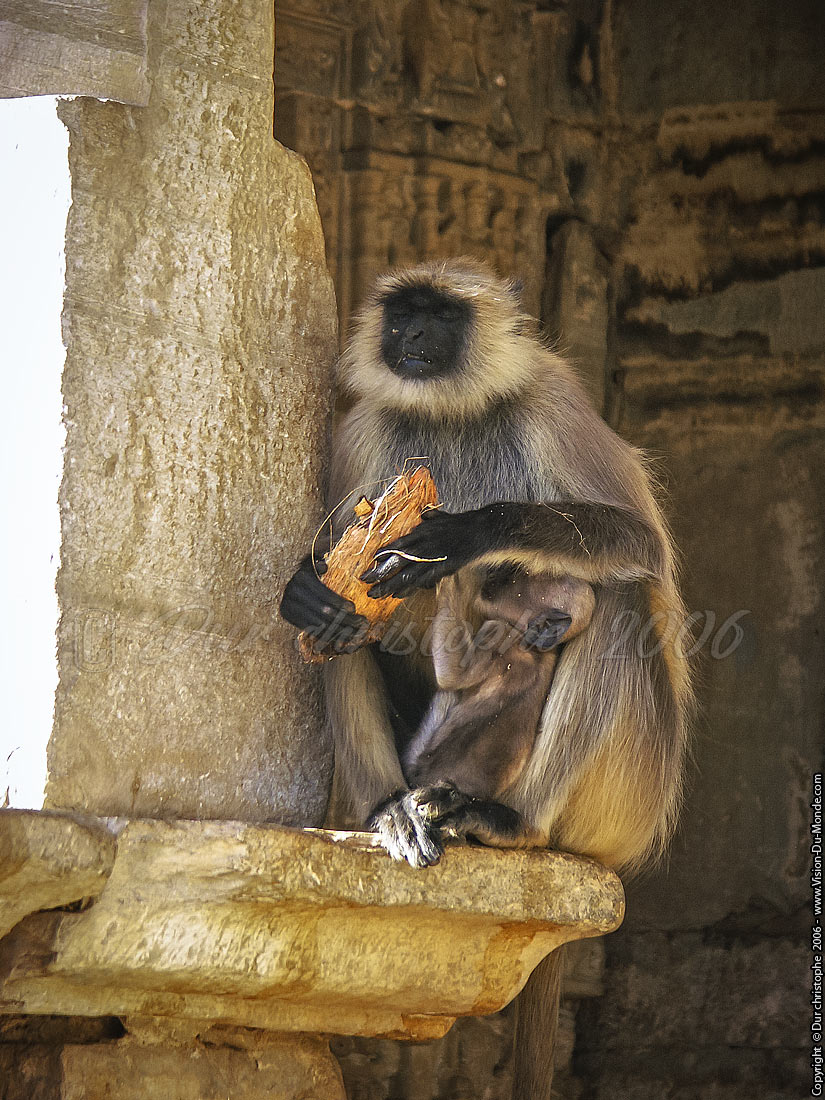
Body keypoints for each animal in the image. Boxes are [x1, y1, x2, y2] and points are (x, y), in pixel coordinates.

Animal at [280, 258, 692, 1099]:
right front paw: (305, 587)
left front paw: (470, 534)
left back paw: (508, 822)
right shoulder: (364, 429)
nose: (411, 335)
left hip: (628, 794)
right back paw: (388, 810)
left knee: (623, 596)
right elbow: (336, 578)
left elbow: (640, 545)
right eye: (401, 315)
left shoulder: (551, 397)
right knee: (343, 628)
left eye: (440, 316)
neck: (454, 412)